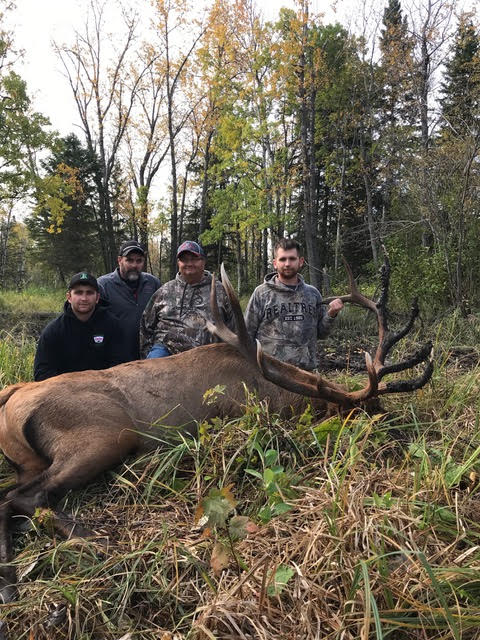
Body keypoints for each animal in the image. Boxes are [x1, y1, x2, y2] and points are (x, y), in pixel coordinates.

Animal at [0, 258, 432, 604]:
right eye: (366, 414)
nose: (403, 434)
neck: (272, 391)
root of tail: (12, 395)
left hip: (33, 459)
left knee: (12, 495)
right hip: (103, 435)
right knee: (24, 497)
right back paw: (91, 541)